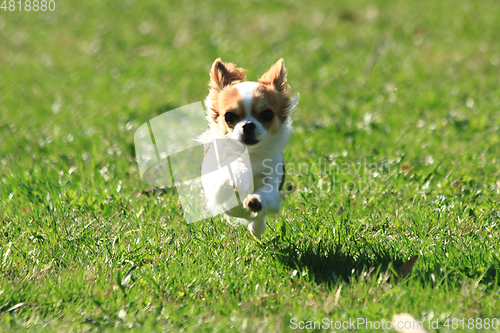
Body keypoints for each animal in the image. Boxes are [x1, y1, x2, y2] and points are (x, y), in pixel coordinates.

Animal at [200, 57, 300, 239]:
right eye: (229, 117)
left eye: (267, 114)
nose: (247, 125)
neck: (251, 155)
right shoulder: (216, 186)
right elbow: (232, 166)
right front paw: (241, 176)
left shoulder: (273, 184)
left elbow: (267, 194)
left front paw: (255, 202)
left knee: (257, 219)